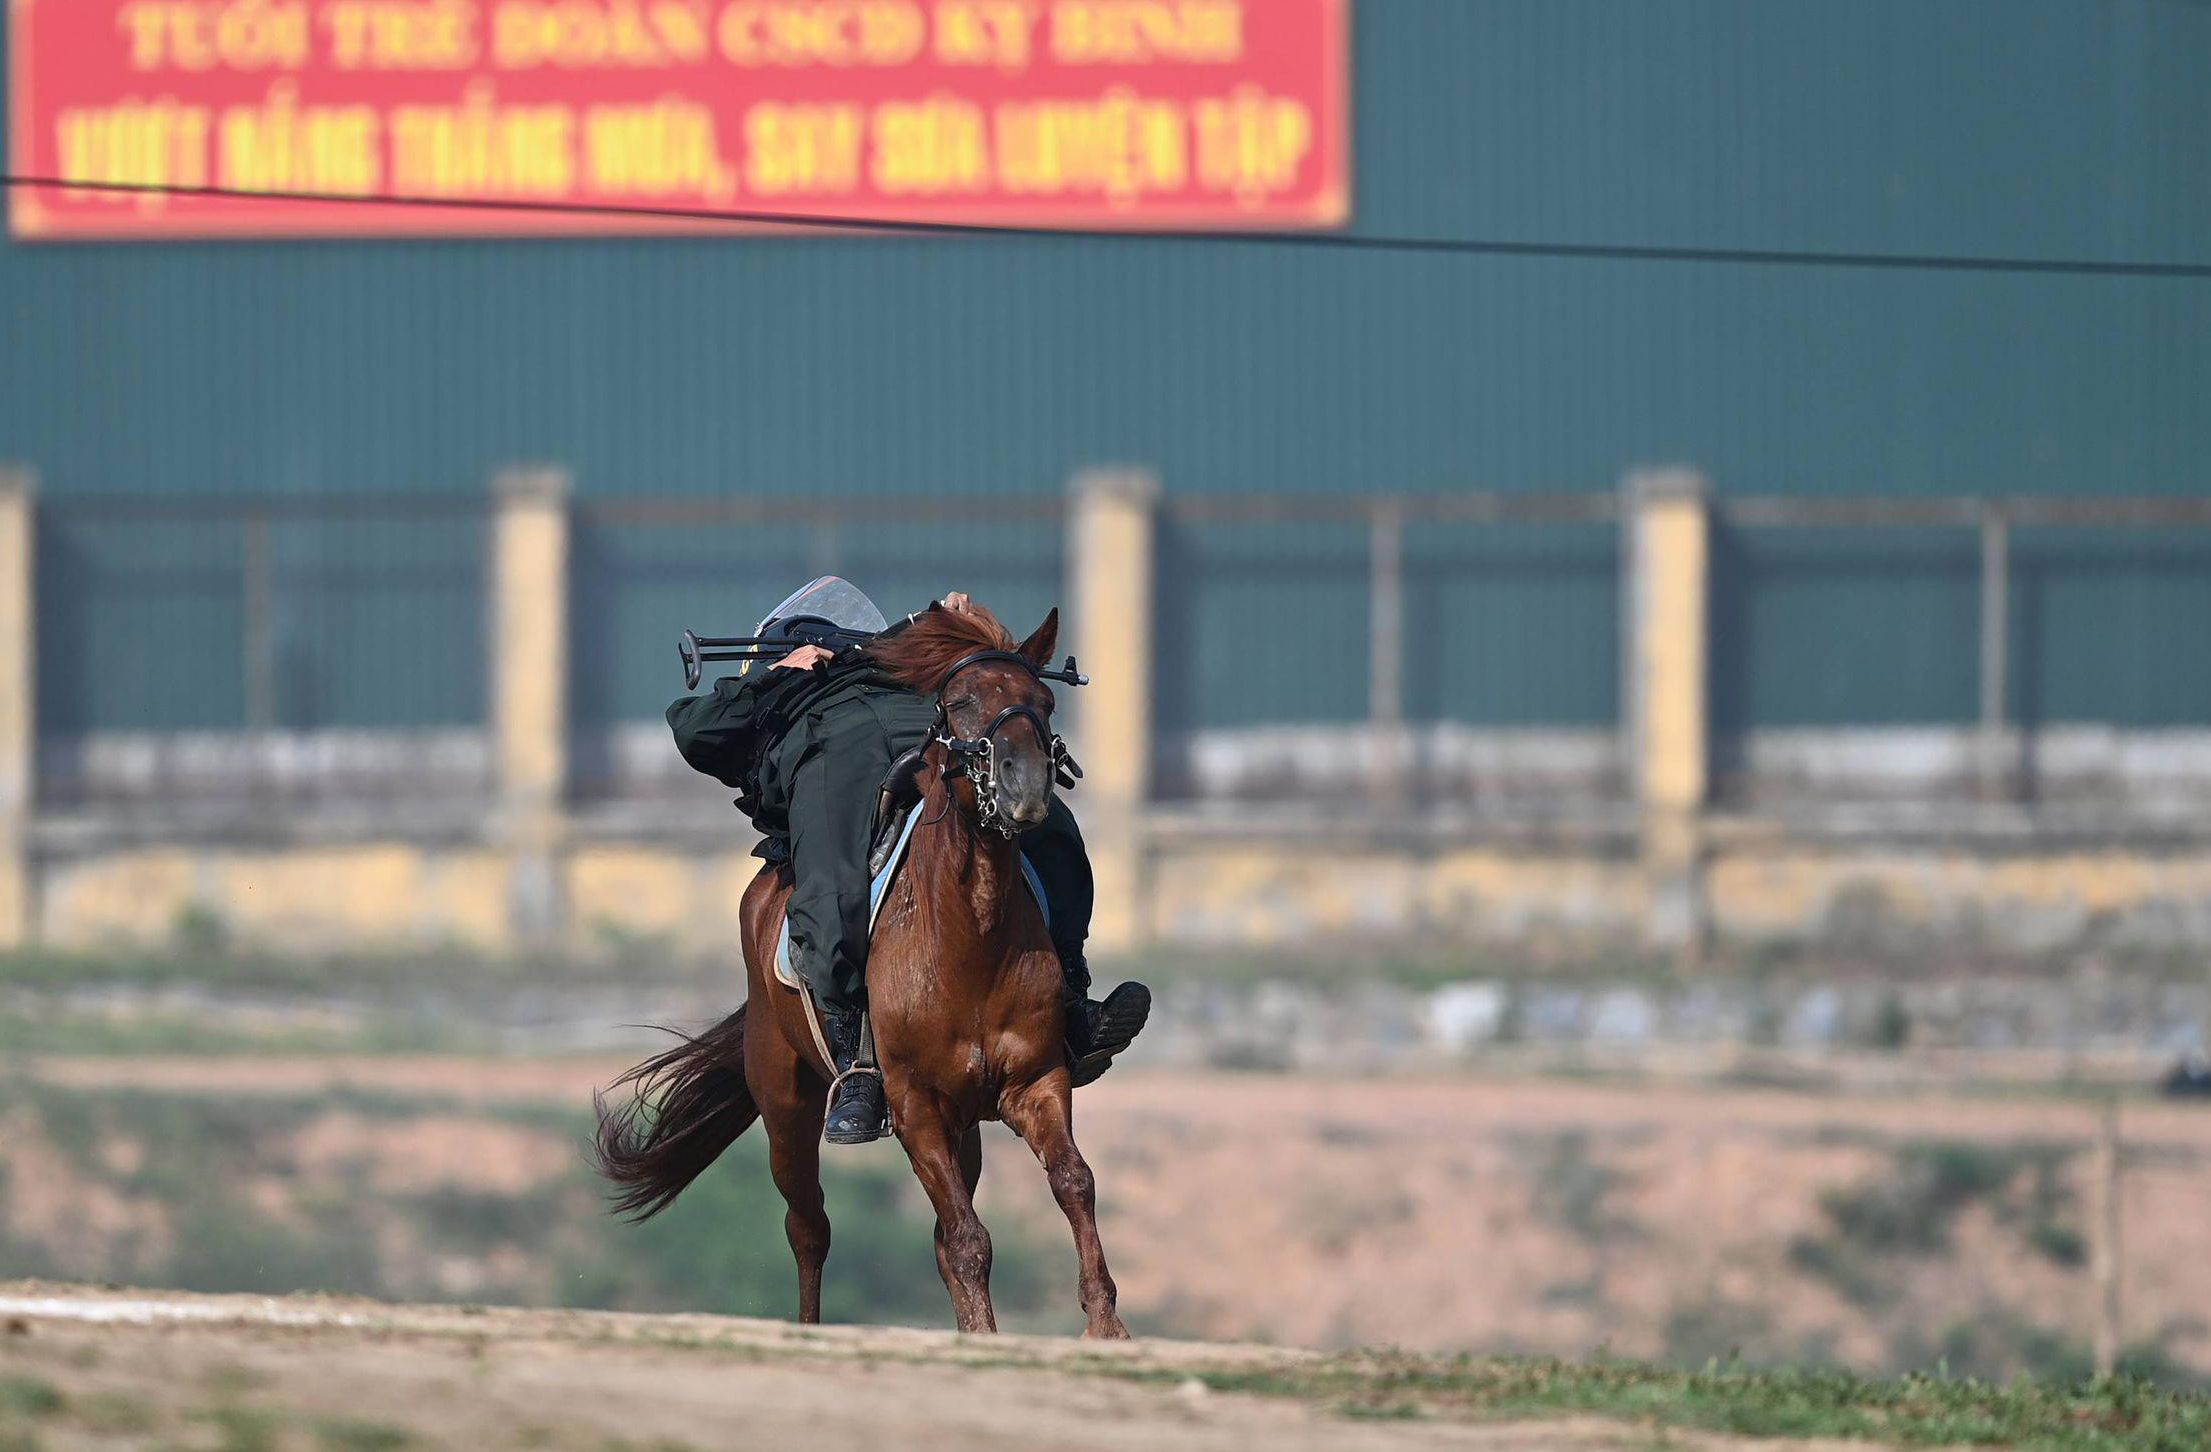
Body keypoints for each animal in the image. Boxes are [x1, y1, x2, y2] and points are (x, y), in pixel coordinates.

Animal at [588, 601, 1123, 1334]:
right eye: (959, 702)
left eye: (1041, 701)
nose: (1024, 784)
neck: (970, 938)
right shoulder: (915, 1104)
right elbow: (969, 1239)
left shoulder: (1035, 1083)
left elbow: (1072, 1183)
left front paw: (1105, 1327)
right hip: (786, 1106)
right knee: (808, 1228)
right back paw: (809, 1327)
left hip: (963, 1125)